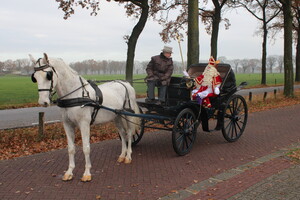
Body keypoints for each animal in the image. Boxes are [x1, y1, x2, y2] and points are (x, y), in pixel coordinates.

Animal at [29, 52, 140, 181]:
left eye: (48, 75)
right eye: (35, 77)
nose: (43, 102)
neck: (75, 94)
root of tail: (126, 84)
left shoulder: (84, 124)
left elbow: (86, 148)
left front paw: (87, 173)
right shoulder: (67, 124)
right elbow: (71, 149)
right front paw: (69, 172)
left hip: (128, 115)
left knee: (129, 133)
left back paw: (128, 156)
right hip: (116, 117)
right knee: (122, 134)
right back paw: (122, 155)